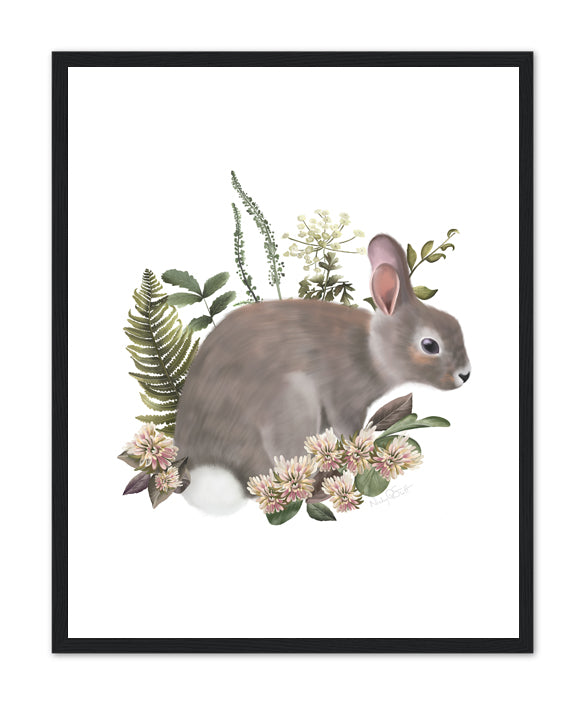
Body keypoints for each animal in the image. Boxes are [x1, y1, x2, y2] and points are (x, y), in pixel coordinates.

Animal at [175, 233, 471, 514]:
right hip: (293, 404)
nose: (465, 375)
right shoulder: (345, 398)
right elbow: (350, 430)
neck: (371, 348)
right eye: (430, 345)